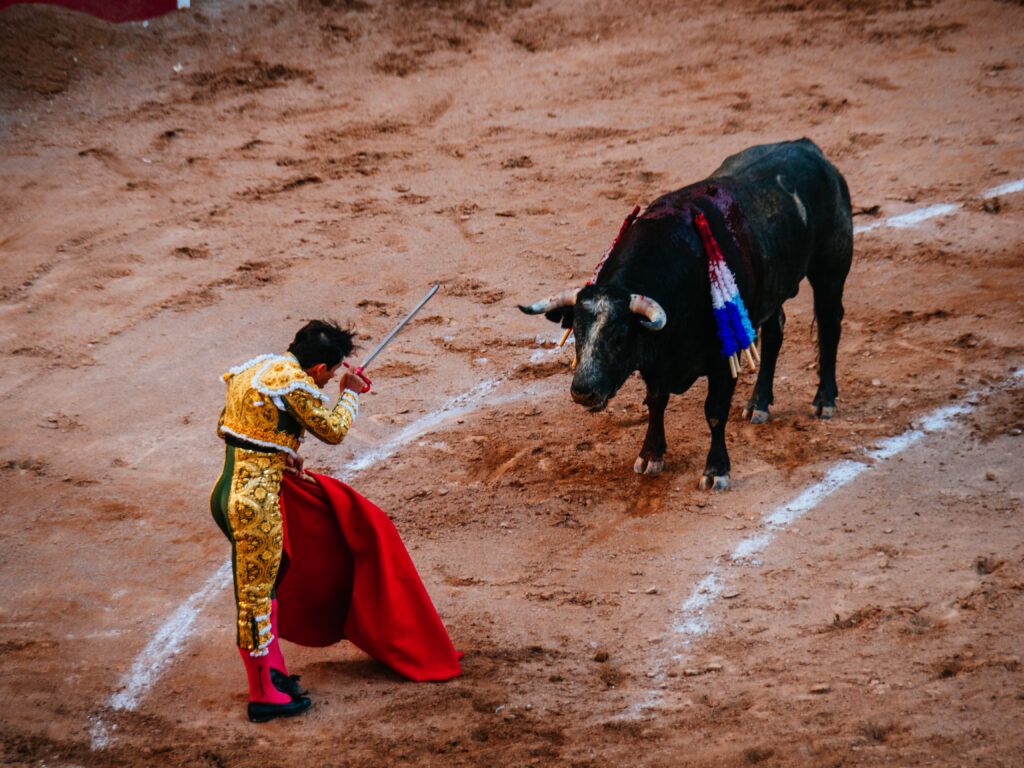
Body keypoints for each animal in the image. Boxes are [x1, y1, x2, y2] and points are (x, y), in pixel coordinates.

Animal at [516, 138, 851, 487]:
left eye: (620, 336)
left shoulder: (721, 357)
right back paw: (758, 404)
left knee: (830, 325)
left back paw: (824, 401)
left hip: (831, 267)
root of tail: (807, 146)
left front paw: (716, 471)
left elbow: (715, 411)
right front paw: (651, 455)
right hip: (772, 289)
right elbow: (656, 402)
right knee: (775, 333)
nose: (583, 392)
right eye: (577, 333)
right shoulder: (656, 361)